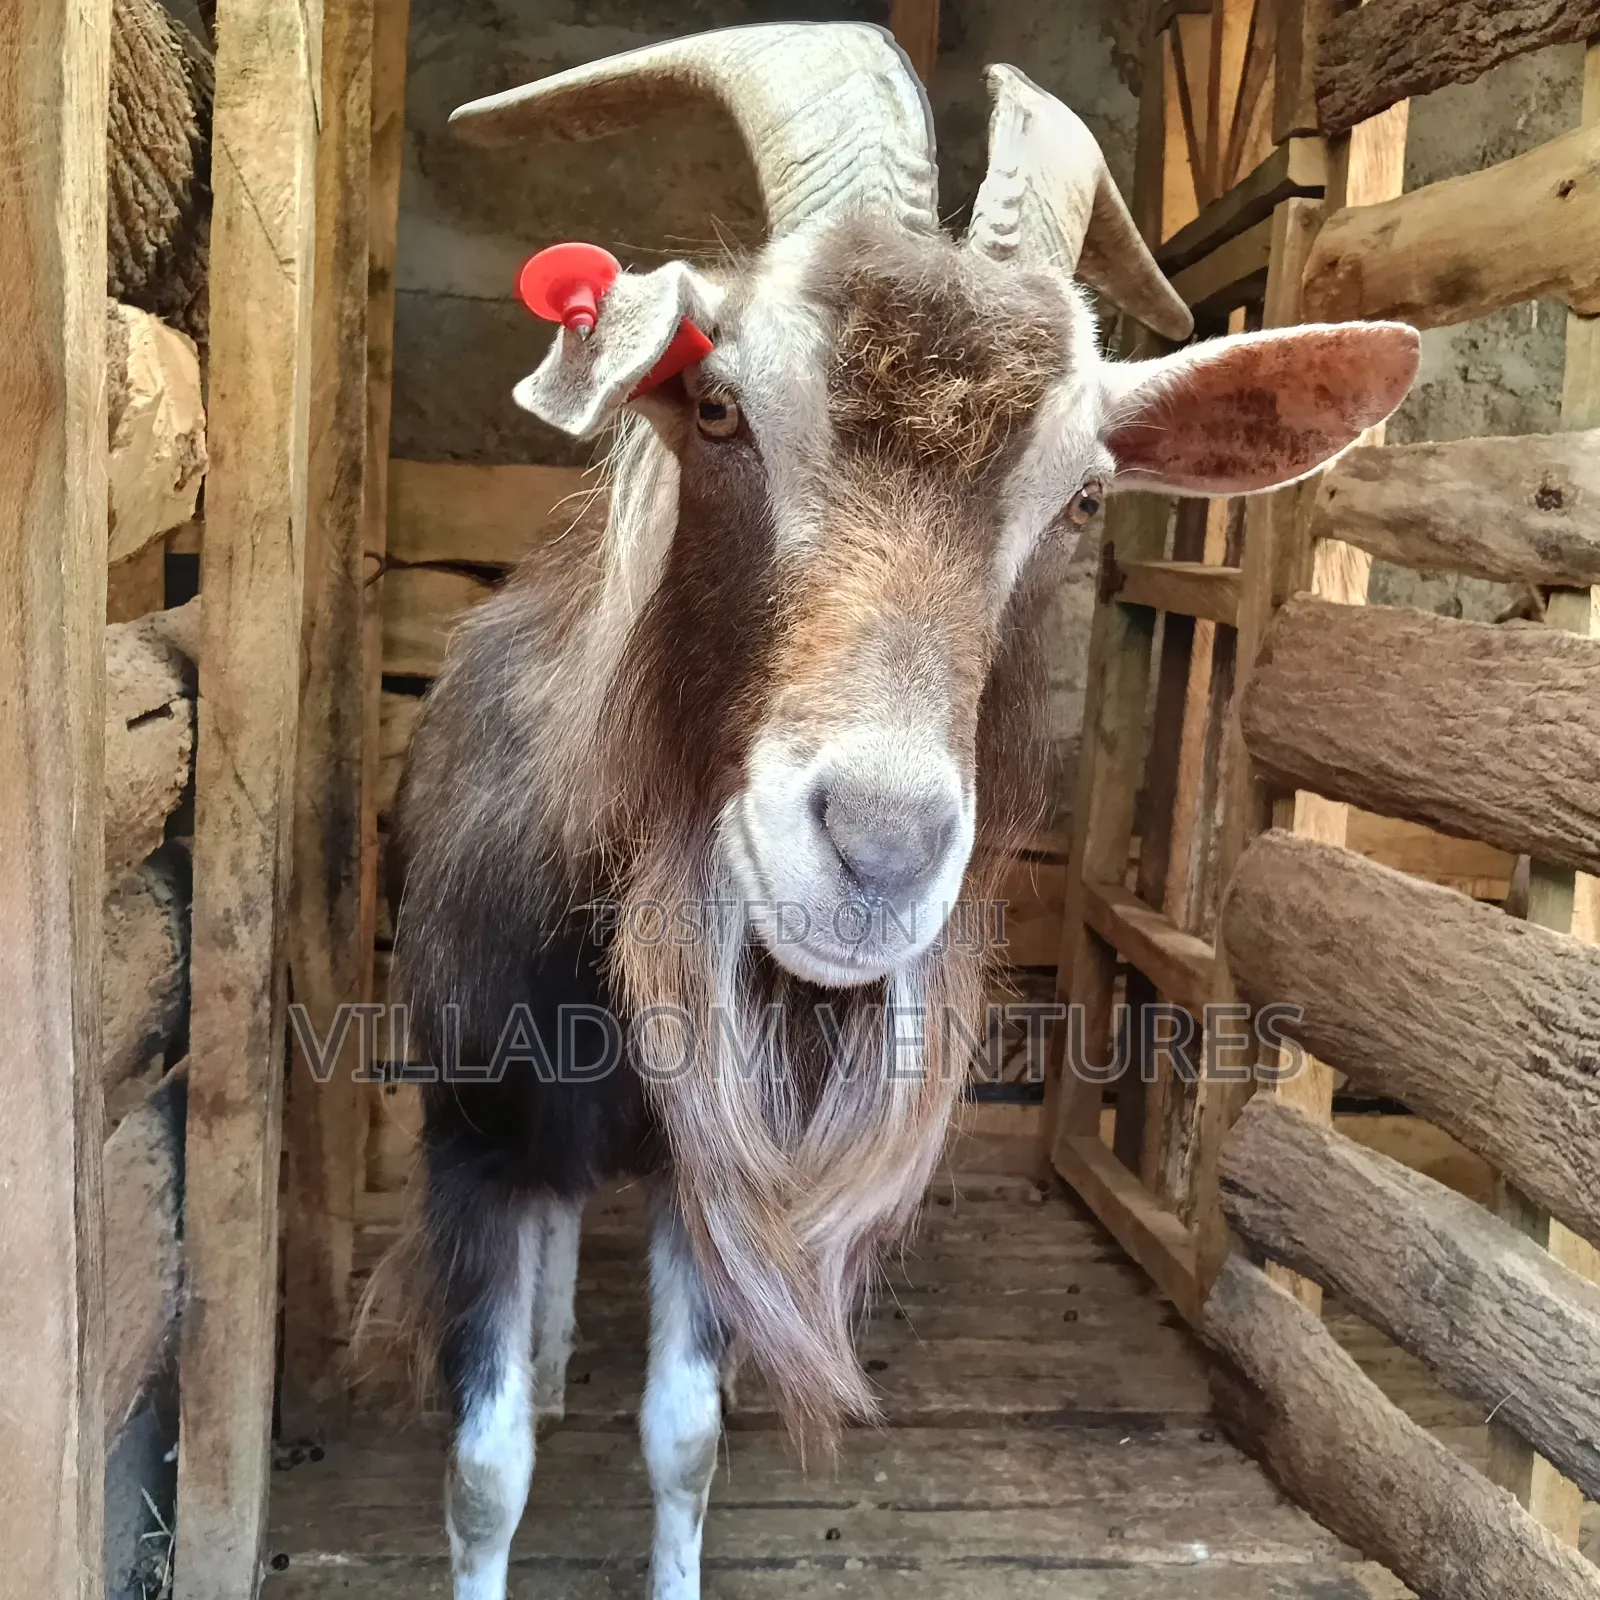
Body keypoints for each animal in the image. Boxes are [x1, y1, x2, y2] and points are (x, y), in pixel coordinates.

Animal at [389, 23, 1418, 1600]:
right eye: (719, 406)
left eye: (1081, 497)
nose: (877, 851)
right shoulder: (468, 1137)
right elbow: (483, 1470)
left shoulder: (714, 1169)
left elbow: (683, 1436)